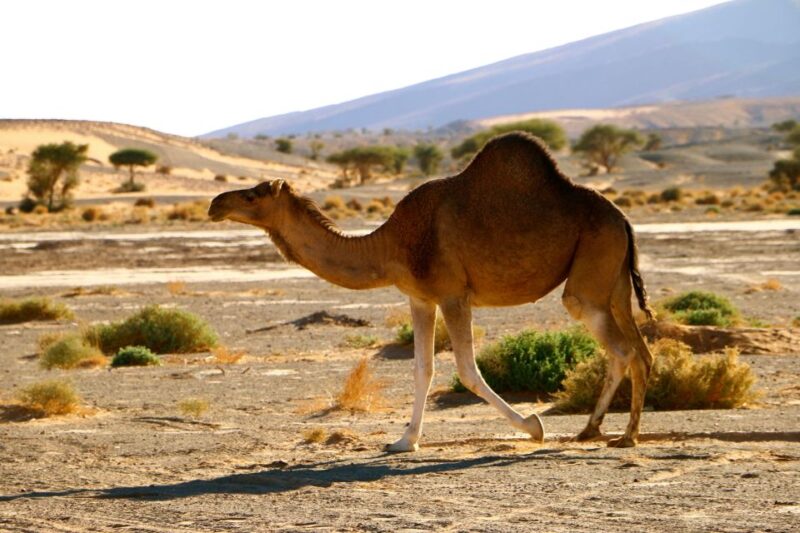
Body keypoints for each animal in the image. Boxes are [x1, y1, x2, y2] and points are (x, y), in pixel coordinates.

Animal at [208, 132, 655, 452]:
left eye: (252, 193)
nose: (215, 204)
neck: (390, 244)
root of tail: (624, 218)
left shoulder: (454, 295)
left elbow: (468, 371)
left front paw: (533, 427)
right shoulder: (419, 297)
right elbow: (422, 369)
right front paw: (404, 441)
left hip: (590, 273)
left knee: (619, 346)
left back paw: (616, 434)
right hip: (614, 279)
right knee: (640, 350)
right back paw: (607, 432)